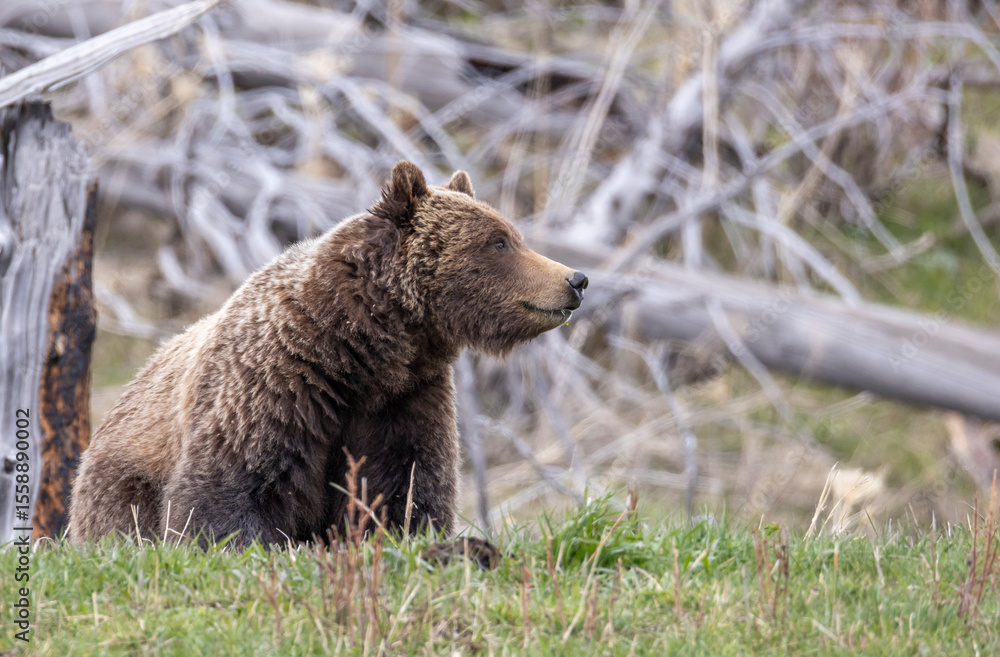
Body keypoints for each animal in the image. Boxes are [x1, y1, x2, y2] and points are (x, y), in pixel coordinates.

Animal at [68, 161, 588, 548]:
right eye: (499, 242)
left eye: (514, 235)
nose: (575, 278)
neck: (357, 351)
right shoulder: (273, 385)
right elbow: (232, 487)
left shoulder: (404, 400)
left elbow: (404, 487)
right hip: (121, 479)